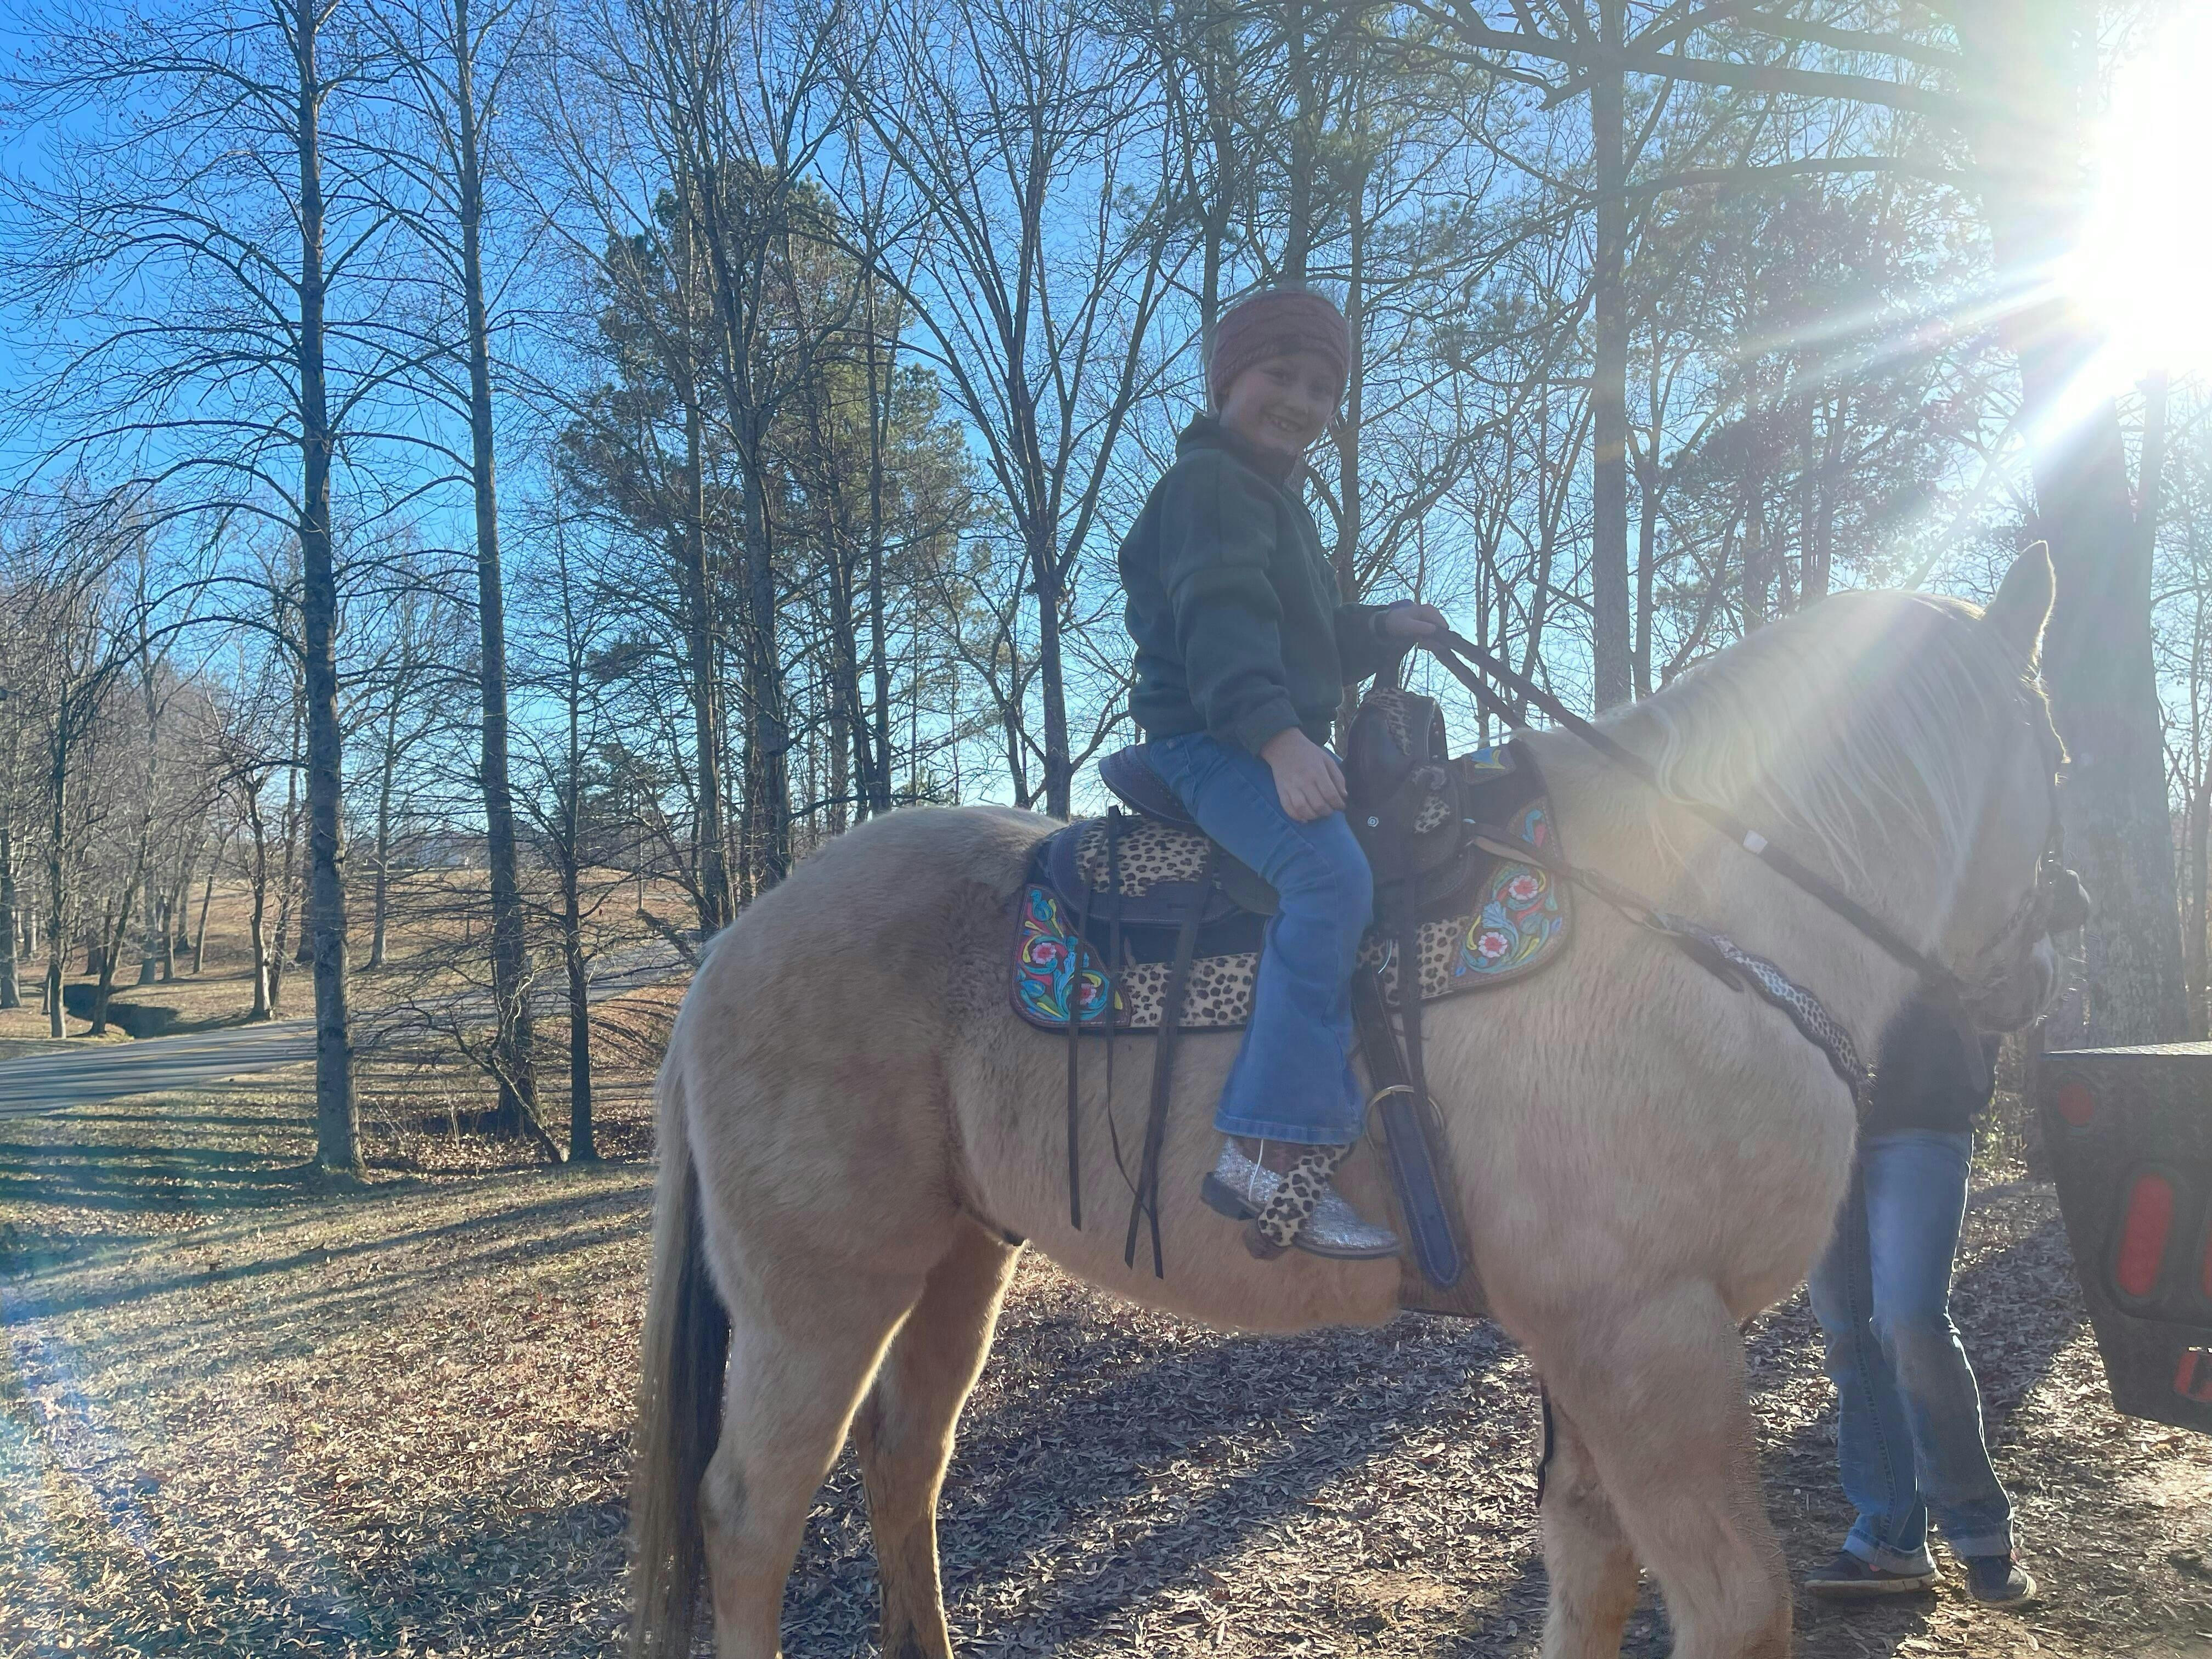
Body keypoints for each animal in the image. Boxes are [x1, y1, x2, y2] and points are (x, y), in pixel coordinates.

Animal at [627, 548, 2065, 1659]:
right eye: (2057, 739)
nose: (2044, 970)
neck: (1697, 913)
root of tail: (730, 950)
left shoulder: (1588, 1343)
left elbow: (1590, 1573)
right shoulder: (1649, 1335)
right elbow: (1734, 1606)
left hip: (957, 1262)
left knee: (901, 1469)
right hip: (817, 1299)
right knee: (748, 1516)